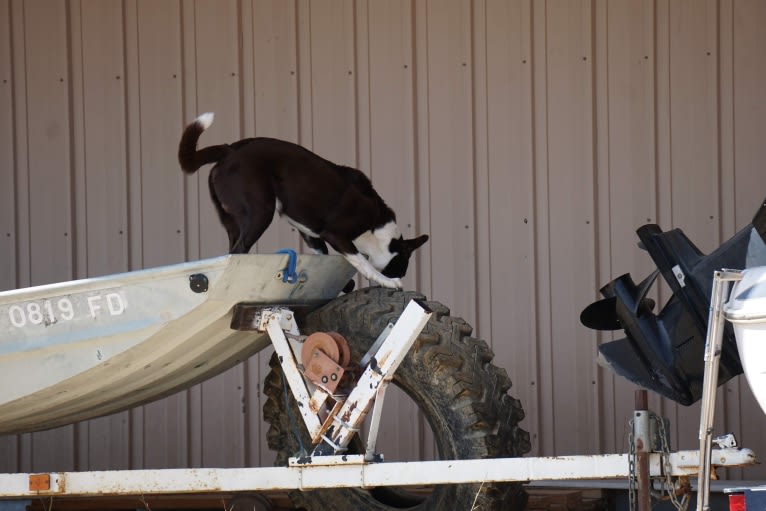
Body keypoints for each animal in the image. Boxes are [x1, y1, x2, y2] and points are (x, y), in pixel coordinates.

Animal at [181, 112, 432, 290]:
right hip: (261, 211)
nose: (400, 279)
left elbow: (323, 256)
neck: (377, 229)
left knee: (231, 252)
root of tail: (229, 150)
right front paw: (385, 281)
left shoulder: (312, 235)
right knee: (240, 249)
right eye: (400, 268)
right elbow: (363, 262)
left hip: (232, 221)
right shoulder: (337, 235)